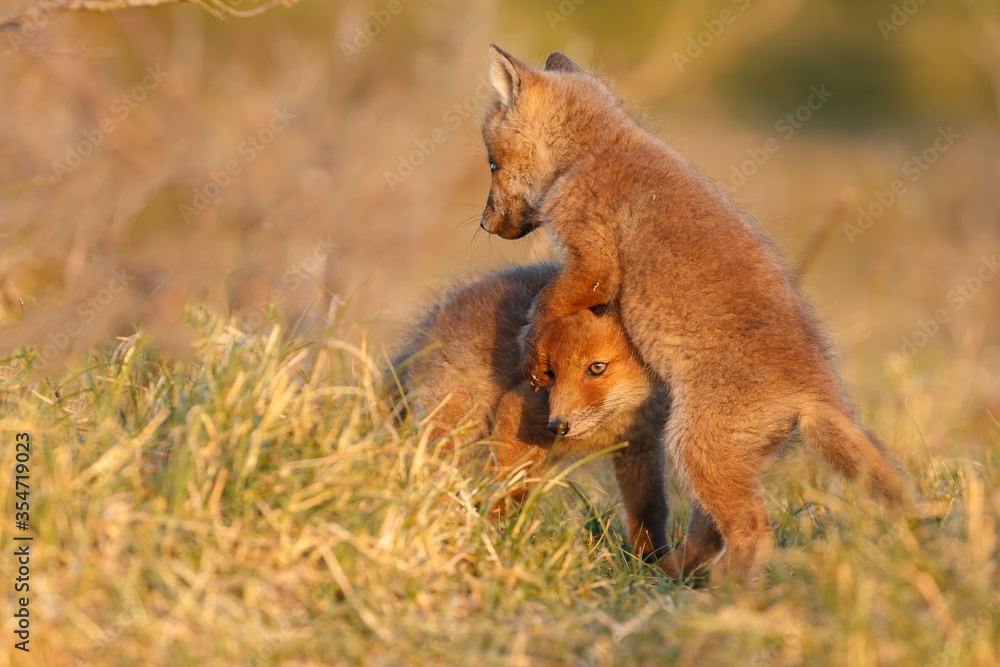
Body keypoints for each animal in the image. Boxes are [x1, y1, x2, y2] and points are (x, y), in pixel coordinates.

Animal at [390, 262, 672, 561]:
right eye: (550, 373)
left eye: (597, 368)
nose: (558, 426)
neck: (613, 421)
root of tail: (431, 319)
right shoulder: (517, 411)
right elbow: (503, 488)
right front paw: (490, 542)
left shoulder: (641, 447)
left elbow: (650, 511)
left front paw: (656, 562)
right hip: (455, 425)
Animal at [477, 46, 909, 583]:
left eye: (492, 164)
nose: (483, 224)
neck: (591, 152)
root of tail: (821, 393)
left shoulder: (593, 259)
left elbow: (548, 304)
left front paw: (532, 352)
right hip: (724, 460)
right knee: (712, 532)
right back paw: (667, 573)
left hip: (693, 447)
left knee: (752, 533)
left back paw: (722, 593)